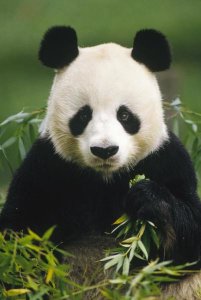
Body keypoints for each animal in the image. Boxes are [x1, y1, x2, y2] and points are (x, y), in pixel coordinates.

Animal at [0, 27, 201, 298]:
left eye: (124, 115)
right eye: (83, 115)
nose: (104, 150)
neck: (105, 177)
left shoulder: (166, 160)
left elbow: (189, 240)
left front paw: (148, 198)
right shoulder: (46, 167)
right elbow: (19, 238)